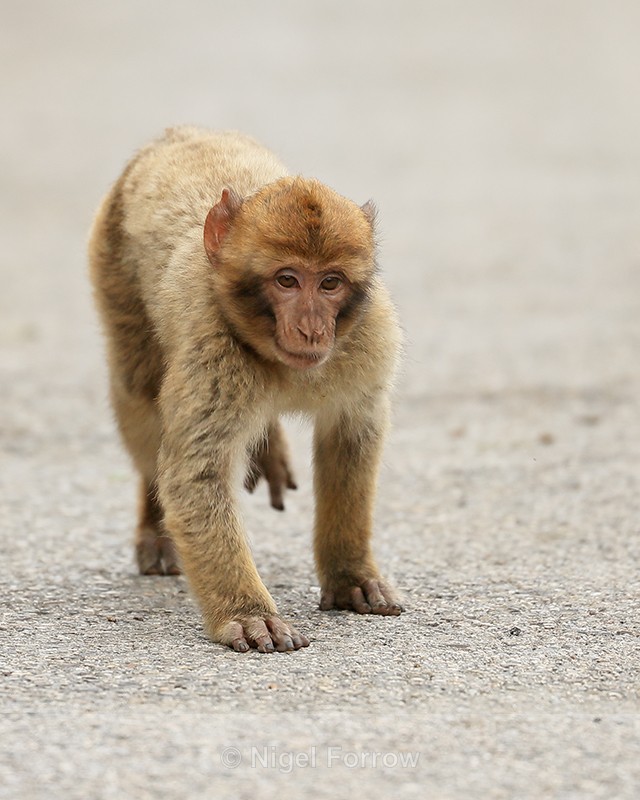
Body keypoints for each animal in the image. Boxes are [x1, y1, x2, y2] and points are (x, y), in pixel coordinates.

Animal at [88, 126, 403, 653]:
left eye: (331, 283)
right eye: (288, 280)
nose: (312, 331)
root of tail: (181, 132)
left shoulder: (370, 335)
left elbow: (351, 436)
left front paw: (349, 574)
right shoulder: (213, 350)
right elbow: (196, 474)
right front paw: (248, 612)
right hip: (111, 265)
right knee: (139, 395)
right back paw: (156, 529)